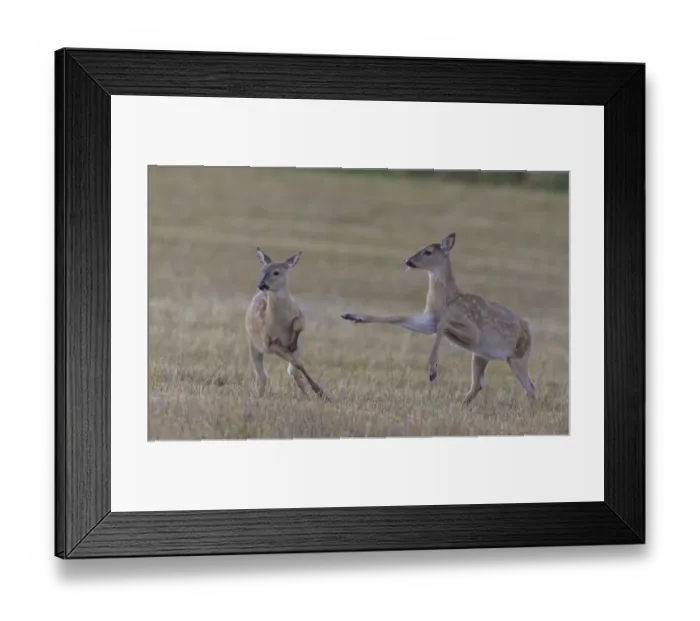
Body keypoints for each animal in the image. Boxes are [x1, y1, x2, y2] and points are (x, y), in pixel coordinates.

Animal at [245, 247, 330, 402]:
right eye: (262, 270)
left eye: (276, 272)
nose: (262, 285)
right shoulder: (269, 343)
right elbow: (297, 364)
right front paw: (319, 391)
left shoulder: (301, 317)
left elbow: (298, 325)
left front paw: (322, 393)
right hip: (254, 346)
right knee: (262, 375)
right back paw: (259, 397)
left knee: (292, 372)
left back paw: (308, 395)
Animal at [341, 233, 536, 408]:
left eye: (428, 251)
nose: (408, 261)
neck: (446, 300)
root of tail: (529, 330)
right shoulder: (429, 321)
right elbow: (399, 317)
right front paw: (352, 316)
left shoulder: (474, 331)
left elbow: (443, 324)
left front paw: (433, 370)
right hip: (481, 355)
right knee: (479, 384)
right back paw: (459, 406)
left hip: (517, 356)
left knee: (530, 387)